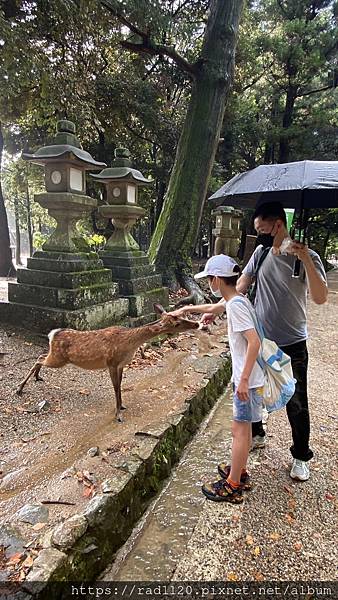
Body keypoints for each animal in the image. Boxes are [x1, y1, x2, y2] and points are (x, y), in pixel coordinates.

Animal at [15, 304, 199, 422]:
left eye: (181, 315)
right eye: (177, 323)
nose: (196, 323)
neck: (129, 344)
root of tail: (53, 334)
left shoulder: (121, 364)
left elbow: (120, 385)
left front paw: (122, 406)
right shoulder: (111, 362)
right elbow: (116, 387)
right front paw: (118, 415)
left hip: (56, 356)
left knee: (41, 356)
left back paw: (37, 377)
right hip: (58, 359)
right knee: (39, 358)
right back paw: (19, 388)